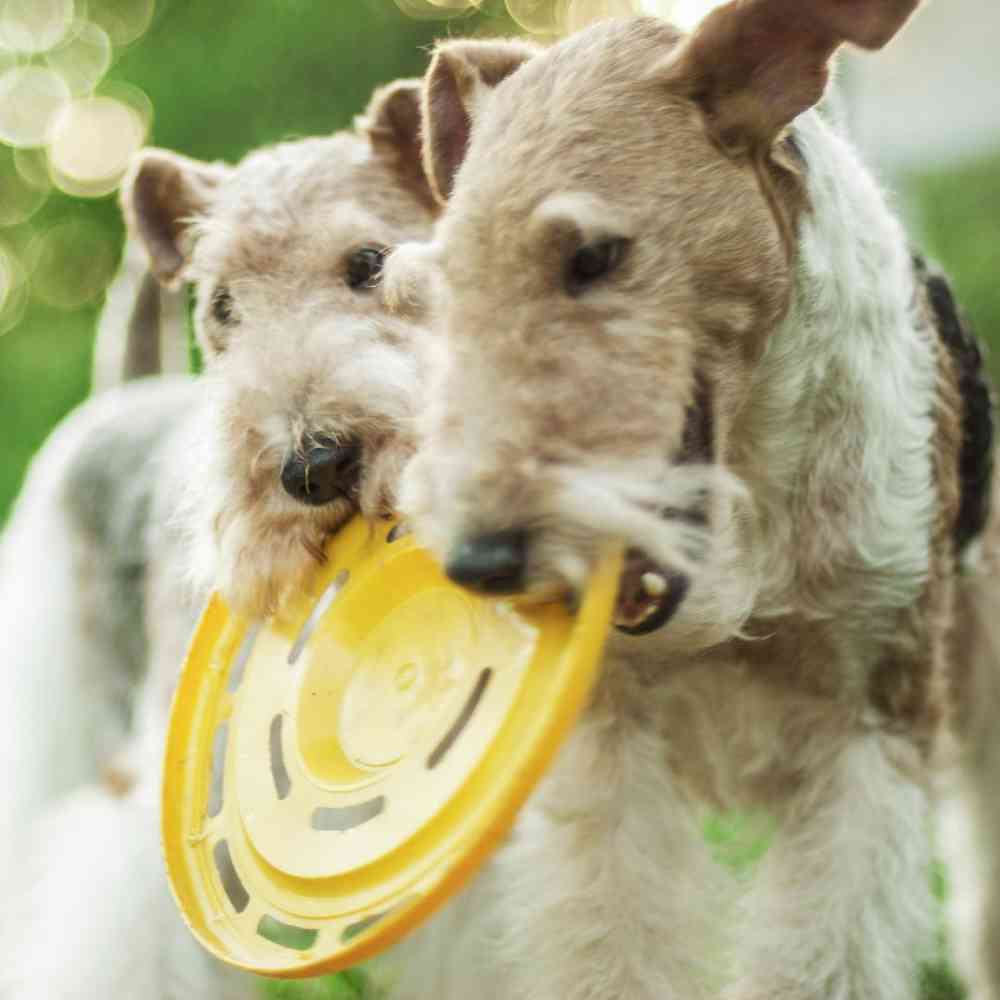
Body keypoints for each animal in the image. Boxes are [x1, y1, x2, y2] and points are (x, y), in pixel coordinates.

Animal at [386, 3, 996, 996]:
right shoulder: (610, 747)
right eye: (443, 285)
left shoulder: (871, 723)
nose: (483, 563)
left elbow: (824, 954)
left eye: (594, 255)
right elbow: (615, 942)